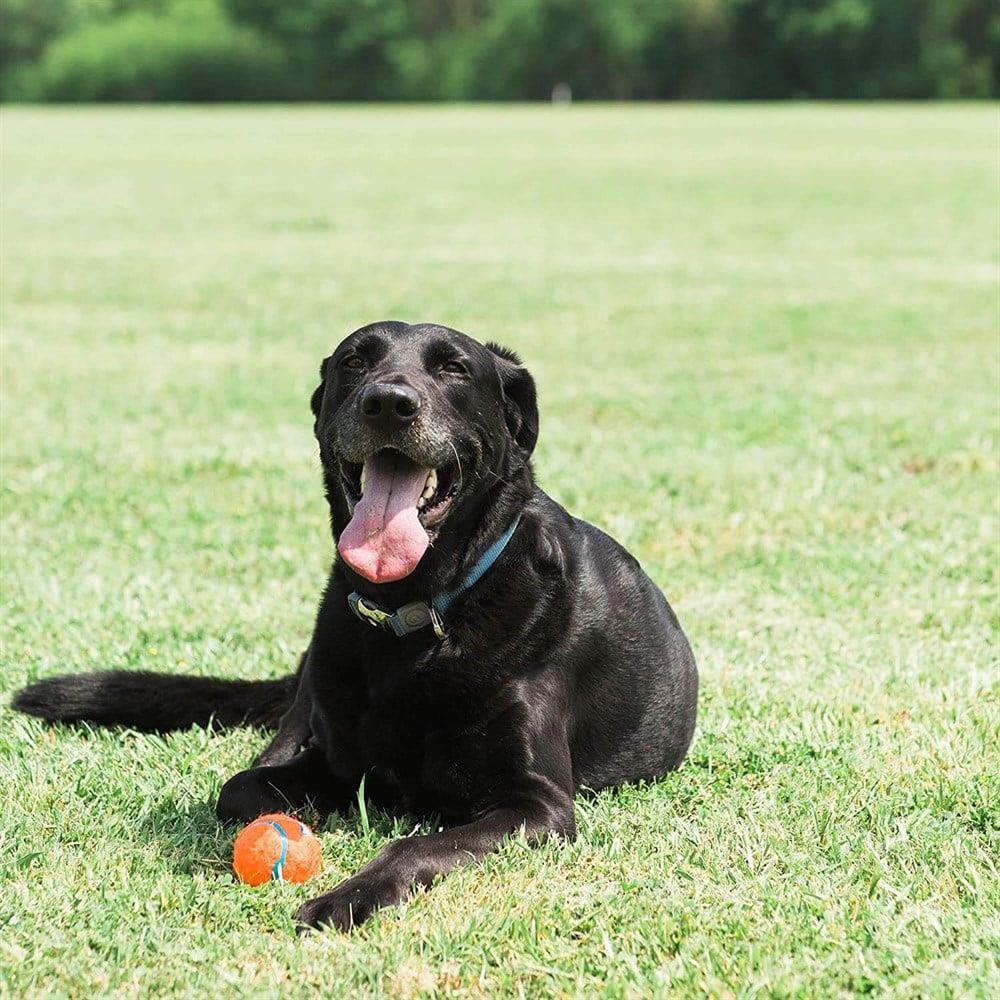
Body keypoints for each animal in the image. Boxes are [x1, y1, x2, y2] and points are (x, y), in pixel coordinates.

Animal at [17, 324, 704, 932]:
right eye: (355, 360)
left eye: (454, 368)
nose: (389, 402)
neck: (414, 616)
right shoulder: (338, 758)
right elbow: (240, 790)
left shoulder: (537, 804)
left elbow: (416, 844)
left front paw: (348, 897)